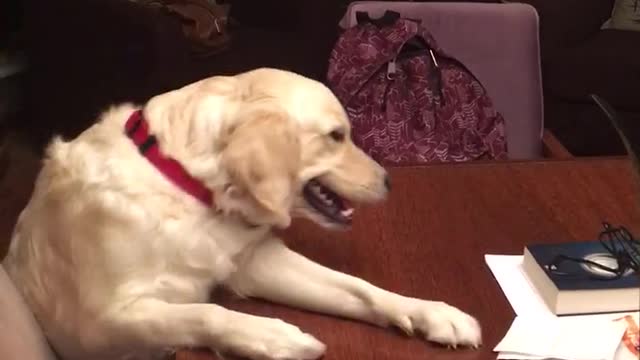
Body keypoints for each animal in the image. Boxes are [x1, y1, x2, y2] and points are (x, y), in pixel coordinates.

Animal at [1, 68, 480, 360]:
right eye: (336, 136)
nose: (388, 181)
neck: (187, 188)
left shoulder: (255, 262)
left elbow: (359, 288)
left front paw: (432, 313)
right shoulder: (98, 324)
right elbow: (205, 312)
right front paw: (276, 336)